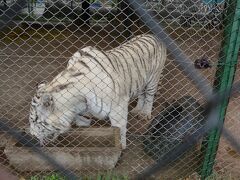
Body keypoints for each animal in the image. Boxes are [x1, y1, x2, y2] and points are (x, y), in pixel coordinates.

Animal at [29, 34, 166, 149]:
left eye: (36, 121)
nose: (32, 136)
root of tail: (153, 35)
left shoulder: (118, 107)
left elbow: (119, 128)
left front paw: (121, 146)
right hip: (140, 81)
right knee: (142, 94)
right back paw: (137, 109)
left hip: (153, 79)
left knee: (149, 96)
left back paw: (145, 113)